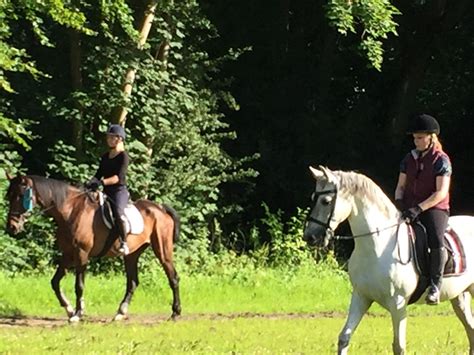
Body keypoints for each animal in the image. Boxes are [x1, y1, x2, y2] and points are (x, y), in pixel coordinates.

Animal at [4, 175, 181, 322]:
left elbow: (79, 285)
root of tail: (160, 208)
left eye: (20, 196)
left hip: (162, 250)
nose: (12, 227)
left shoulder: (81, 254)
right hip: (132, 254)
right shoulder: (68, 254)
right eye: (9, 196)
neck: (70, 212)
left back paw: (175, 313)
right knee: (133, 282)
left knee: (173, 278)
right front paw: (70, 309)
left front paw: (77, 314)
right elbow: (55, 282)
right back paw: (120, 313)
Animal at [302, 167, 474, 355]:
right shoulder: (361, 297)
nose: (309, 237)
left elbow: (399, 346)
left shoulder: (398, 304)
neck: (377, 246)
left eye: (326, 201)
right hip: (459, 296)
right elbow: (344, 337)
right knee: (471, 330)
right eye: (313, 198)